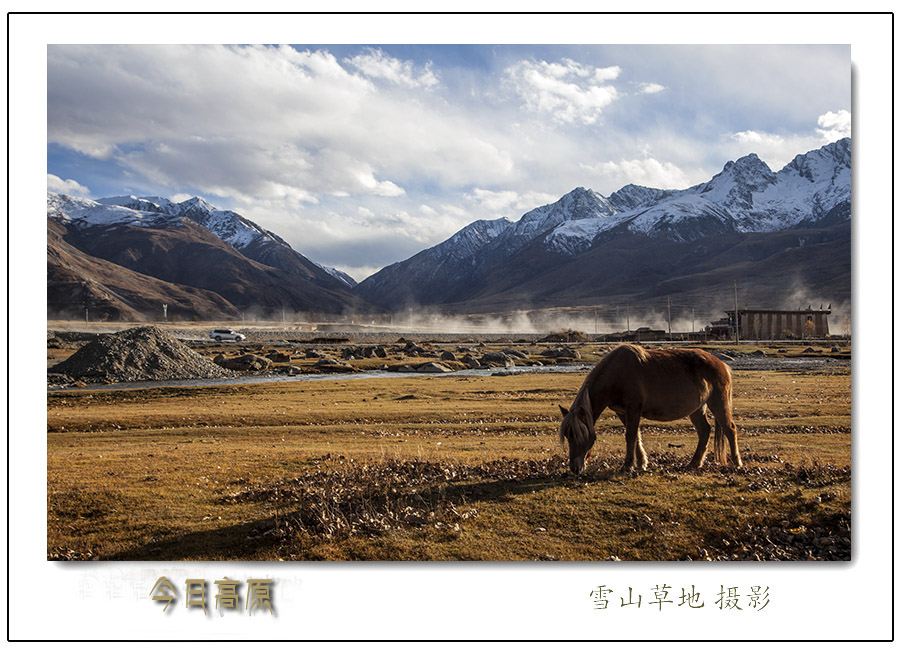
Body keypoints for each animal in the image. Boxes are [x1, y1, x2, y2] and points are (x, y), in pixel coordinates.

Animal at [560, 344, 740, 476]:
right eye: (568, 436)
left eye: (580, 435)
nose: (575, 468)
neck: (616, 374)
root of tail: (722, 364)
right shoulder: (623, 412)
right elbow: (636, 436)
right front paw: (641, 463)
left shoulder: (633, 408)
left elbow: (630, 436)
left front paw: (627, 466)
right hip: (697, 409)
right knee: (704, 431)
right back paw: (694, 463)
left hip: (718, 403)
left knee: (730, 429)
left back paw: (737, 463)